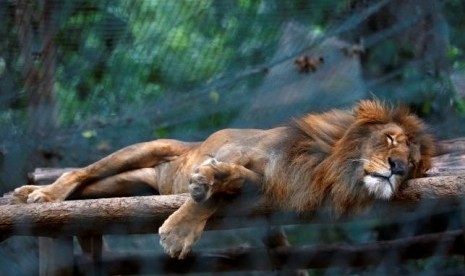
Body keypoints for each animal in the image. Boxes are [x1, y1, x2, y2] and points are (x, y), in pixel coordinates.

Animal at [10, 100, 434, 260]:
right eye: (390, 139)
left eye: (413, 164)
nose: (398, 168)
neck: (327, 165)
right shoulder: (238, 149)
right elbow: (211, 193)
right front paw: (180, 228)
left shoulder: (268, 185)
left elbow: (229, 188)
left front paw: (207, 186)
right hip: (144, 149)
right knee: (79, 172)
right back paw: (40, 195)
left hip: (126, 185)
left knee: (88, 191)